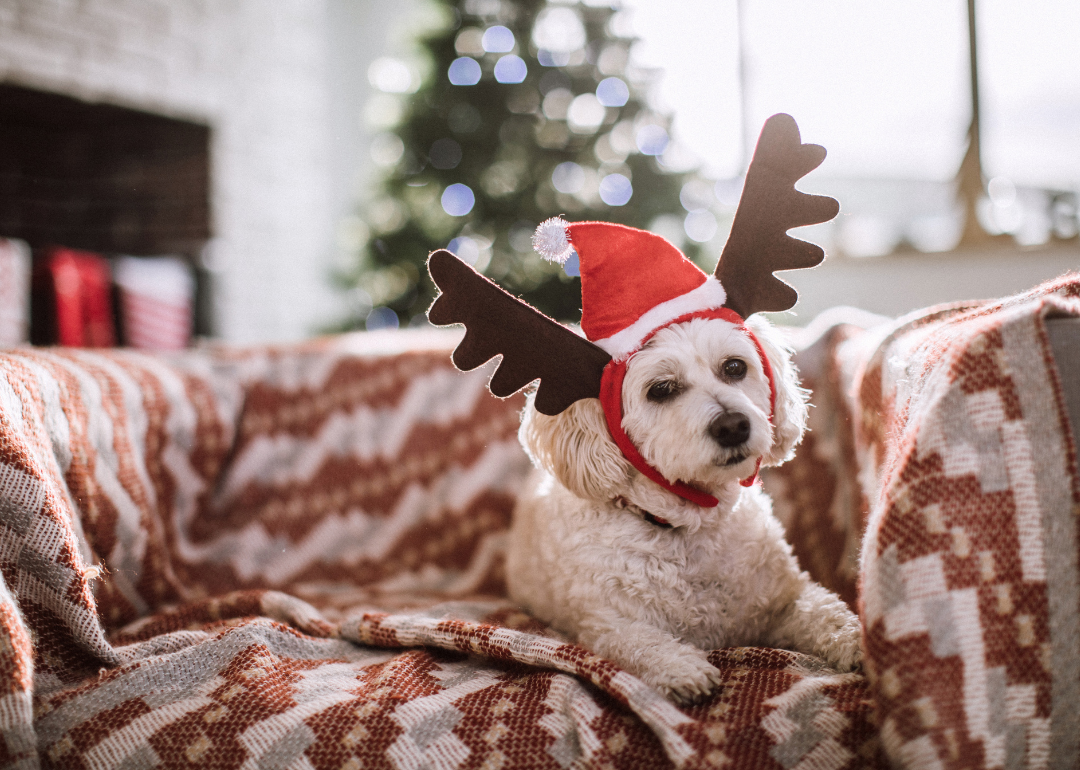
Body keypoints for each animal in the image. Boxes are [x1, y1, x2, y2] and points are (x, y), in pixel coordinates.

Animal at [503, 313, 859, 704]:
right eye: (660, 389)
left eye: (735, 367)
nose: (733, 426)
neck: (690, 527)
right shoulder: (606, 625)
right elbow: (641, 643)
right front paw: (681, 668)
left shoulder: (784, 600)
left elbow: (823, 610)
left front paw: (854, 639)